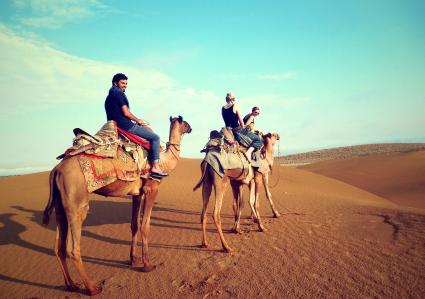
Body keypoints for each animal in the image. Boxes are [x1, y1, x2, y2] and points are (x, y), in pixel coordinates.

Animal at [41, 116, 190, 296]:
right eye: (185, 123)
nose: (191, 128)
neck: (164, 161)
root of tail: (55, 170)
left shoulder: (137, 193)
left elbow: (134, 224)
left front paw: (133, 259)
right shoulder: (151, 189)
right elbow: (145, 225)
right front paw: (147, 265)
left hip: (60, 204)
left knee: (59, 246)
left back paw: (72, 285)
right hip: (77, 202)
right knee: (73, 248)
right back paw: (92, 288)